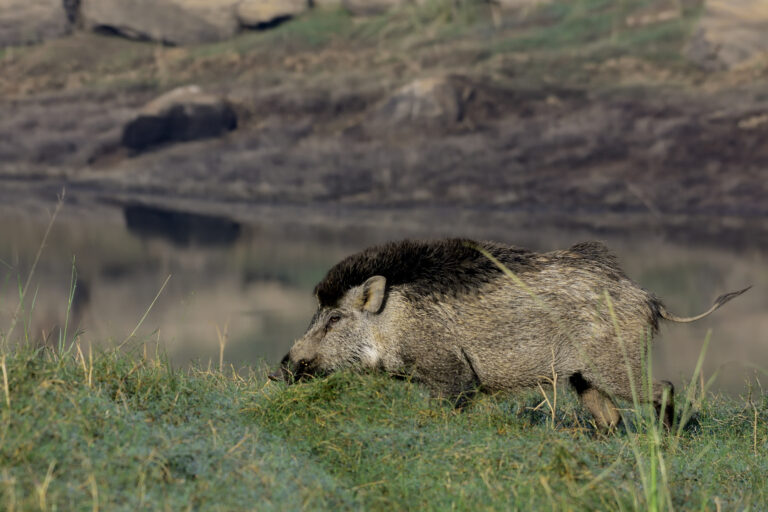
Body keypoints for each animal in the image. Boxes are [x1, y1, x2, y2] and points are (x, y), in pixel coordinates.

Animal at [271, 239, 749, 429]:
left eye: (334, 319)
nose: (279, 371)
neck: (393, 321)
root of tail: (648, 297)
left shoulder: (451, 372)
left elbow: (446, 405)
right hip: (582, 377)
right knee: (610, 417)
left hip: (616, 365)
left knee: (663, 387)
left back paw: (665, 441)